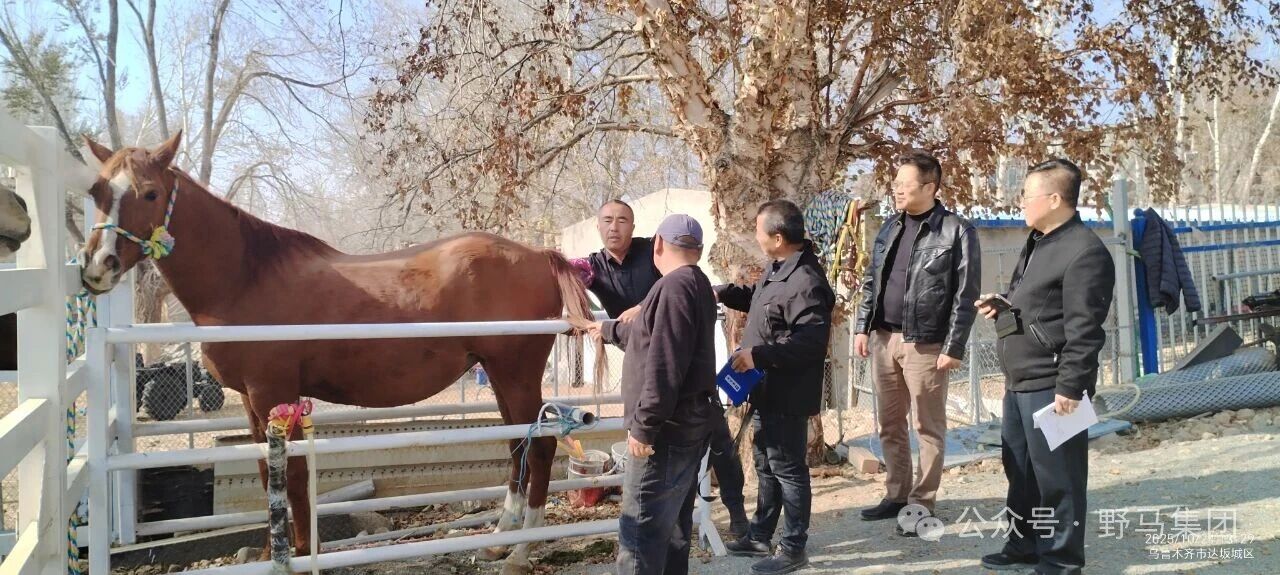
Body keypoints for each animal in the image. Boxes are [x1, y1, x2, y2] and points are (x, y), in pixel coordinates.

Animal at [76, 131, 601, 575]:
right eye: (96, 191)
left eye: (149, 193)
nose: (97, 267)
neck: (244, 279)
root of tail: (539, 256)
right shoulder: (251, 401)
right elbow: (267, 475)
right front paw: (270, 553)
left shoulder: (274, 394)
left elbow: (291, 477)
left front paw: (300, 553)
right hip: (497, 374)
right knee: (517, 445)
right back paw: (498, 539)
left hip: (516, 373)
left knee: (540, 448)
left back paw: (519, 552)